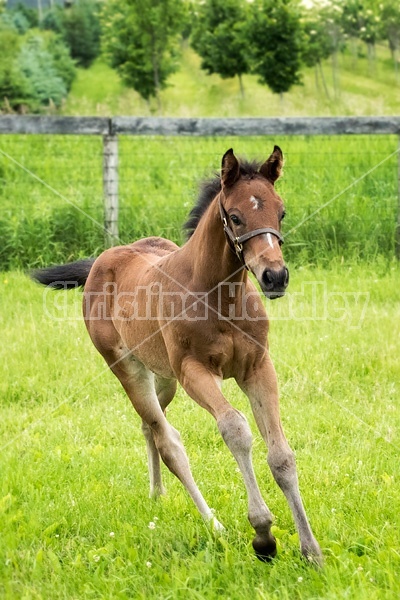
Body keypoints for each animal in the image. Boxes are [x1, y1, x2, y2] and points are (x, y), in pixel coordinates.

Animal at [33, 148, 322, 564]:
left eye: (280, 213)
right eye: (236, 216)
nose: (275, 277)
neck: (219, 297)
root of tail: (101, 260)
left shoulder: (257, 367)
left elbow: (281, 455)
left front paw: (310, 550)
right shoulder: (194, 372)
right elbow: (235, 429)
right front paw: (263, 533)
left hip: (163, 376)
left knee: (151, 428)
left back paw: (157, 495)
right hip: (129, 370)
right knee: (169, 441)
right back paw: (215, 525)